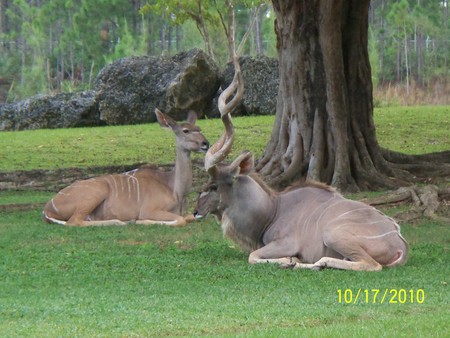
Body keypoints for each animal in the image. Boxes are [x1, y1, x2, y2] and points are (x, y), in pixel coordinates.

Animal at [44, 109, 209, 227]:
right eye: (186, 131)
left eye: (199, 128)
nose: (205, 143)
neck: (175, 189)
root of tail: (48, 208)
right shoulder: (149, 209)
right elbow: (181, 220)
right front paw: (140, 221)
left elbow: (189, 217)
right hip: (96, 192)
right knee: (74, 221)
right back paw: (122, 222)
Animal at [199, 23, 410, 270]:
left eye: (214, 186)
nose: (195, 211)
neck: (272, 210)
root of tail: (399, 243)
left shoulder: (285, 242)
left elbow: (253, 256)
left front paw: (288, 260)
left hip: (334, 234)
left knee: (370, 265)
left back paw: (312, 263)